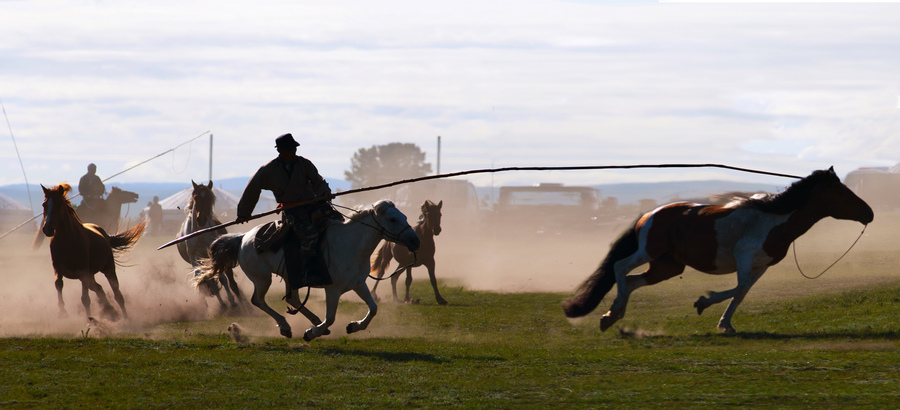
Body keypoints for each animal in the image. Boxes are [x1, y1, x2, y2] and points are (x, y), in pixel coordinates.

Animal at [35, 184, 147, 322]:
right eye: (44, 204)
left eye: (58, 204)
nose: (48, 229)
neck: (67, 240)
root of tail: (105, 235)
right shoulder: (58, 270)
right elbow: (58, 285)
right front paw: (62, 312)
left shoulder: (83, 272)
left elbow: (85, 299)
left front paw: (90, 319)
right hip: (91, 276)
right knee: (99, 289)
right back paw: (111, 311)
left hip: (108, 269)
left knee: (117, 294)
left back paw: (125, 317)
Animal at [193, 201, 418, 340]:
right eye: (392, 219)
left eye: (404, 216)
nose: (415, 240)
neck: (349, 244)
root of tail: (243, 238)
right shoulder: (333, 289)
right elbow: (331, 317)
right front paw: (311, 333)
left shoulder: (357, 284)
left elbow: (373, 309)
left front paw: (353, 326)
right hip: (262, 278)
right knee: (258, 300)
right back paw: (286, 326)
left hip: (289, 277)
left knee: (292, 299)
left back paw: (311, 320)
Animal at [564, 167, 872, 334]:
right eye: (843, 192)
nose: (869, 213)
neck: (772, 219)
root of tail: (649, 214)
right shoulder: (745, 259)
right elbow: (738, 289)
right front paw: (704, 303)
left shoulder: (759, 266)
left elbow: (741, 293)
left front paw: (725, 323)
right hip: (648, 252)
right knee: (620, 268)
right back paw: (613, 313)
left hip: (667, 266)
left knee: (630, 280)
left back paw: (611, 318)